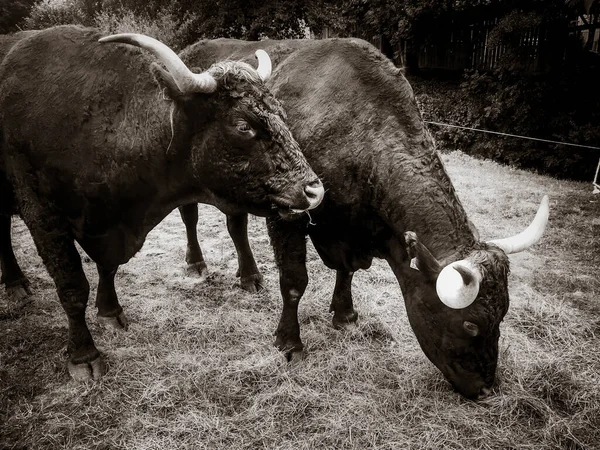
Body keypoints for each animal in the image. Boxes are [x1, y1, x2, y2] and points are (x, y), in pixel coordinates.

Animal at [0, 25, 324, 380]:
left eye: (281, 114)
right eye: (243, 125)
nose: (314, 190)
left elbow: (107, 267)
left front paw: (110, 311)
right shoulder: (44, 217)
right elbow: (72, 286)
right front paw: (84, 355)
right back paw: (16, 284)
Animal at [176, 37, 548, 400]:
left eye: (502, 315)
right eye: (470, 324)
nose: (486, 389)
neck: (357, 131)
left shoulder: (356, 231)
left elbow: (347, 272)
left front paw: (345, 314)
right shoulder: (288, 214)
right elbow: (295, 281)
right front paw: (290, 342)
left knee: (236, 225)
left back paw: (250, 277)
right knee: (191, 218)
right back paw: (196, 263)